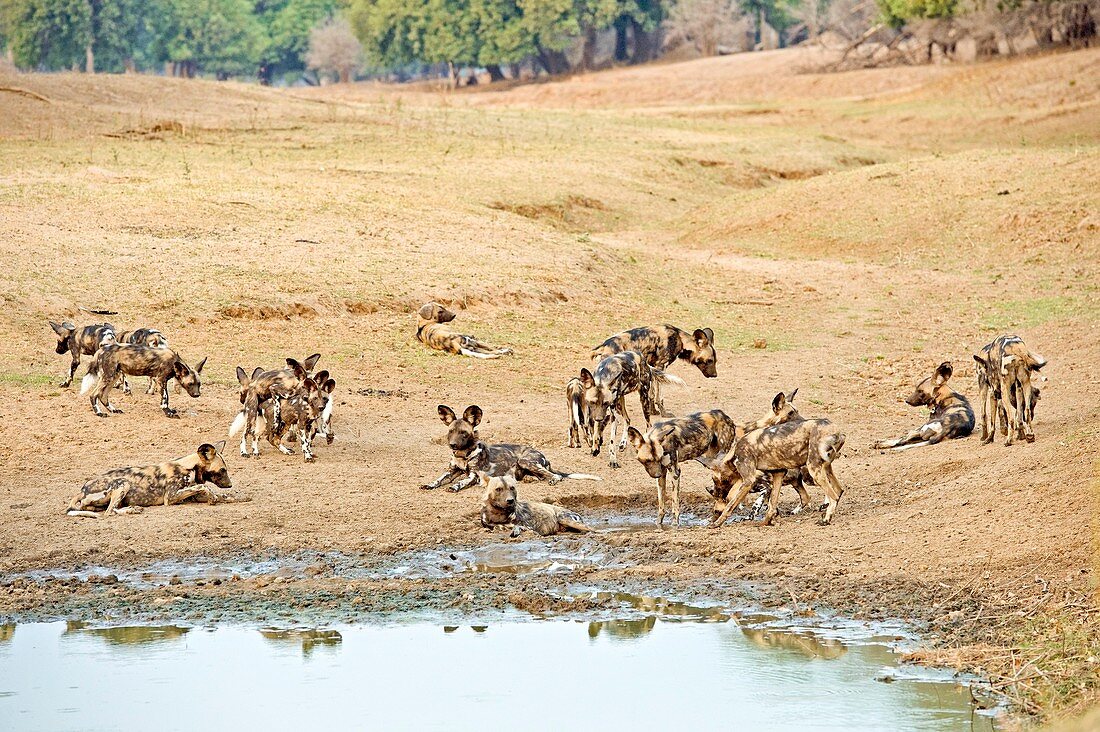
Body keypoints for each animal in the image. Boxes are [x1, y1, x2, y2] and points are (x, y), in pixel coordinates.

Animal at [66, 435, 245, 517]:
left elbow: (220, 494)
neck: (190, 467)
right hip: (122, 483)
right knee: (110, 511)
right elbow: (205, 487)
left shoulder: (193, 495)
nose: (230, 484)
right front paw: (214, 498)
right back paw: (132, 509)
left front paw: (240, 497)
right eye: (222, 470)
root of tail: (82, 490)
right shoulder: (171, 497)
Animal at [418, 405, 602, 490]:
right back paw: (529, 479)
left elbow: (462, 481)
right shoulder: (451, 471)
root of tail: (543, 455)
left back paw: (551, 479)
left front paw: (455, 487)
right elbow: (439, 478)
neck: (463, 455)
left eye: (463, 433)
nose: (453, 445)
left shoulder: (474, 476)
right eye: (451, 432)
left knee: (555, 476)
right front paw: (430, 484)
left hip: (526, 461)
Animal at [629, 394, 800, 526]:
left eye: (655, 458)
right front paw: (659, 524)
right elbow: (661, 503)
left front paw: (674, 525)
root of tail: (726, 416)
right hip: (713, 457)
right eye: (647, 461)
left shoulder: (675, 472)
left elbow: (675, 503)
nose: (656, 474)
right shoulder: (663, 472)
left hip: (723, 453)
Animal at [708, 394, 844, 526]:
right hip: (822, 469)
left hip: (812, 471)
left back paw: (825, 519)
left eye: (716, 482)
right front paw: (766, 522)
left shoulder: (749, 481)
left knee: (833, 496)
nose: (715, 490)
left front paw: (717, 523)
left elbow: (730, 505)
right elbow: (772, 505)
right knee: (838, 491)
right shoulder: (778, 474)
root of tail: (837, 431)